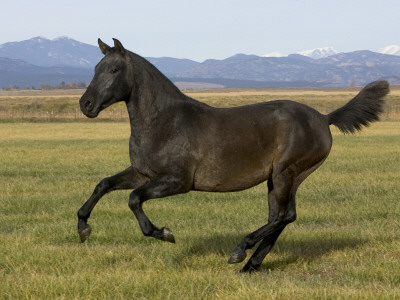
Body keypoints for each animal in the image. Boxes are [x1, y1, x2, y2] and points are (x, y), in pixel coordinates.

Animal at [76, 38, 390, 274]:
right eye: (96, 67)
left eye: (114, 69)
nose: (86, 104)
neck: (165, 122)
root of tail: (325, 118)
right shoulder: (142, 173)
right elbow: (103, 184)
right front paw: (82, 228)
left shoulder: (177, 181)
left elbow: (133, 199)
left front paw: (164, 233)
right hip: (282, 178)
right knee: (283, 217)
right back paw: (250, 265)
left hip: (286, 173)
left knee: (282, 216)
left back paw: (240, 252)